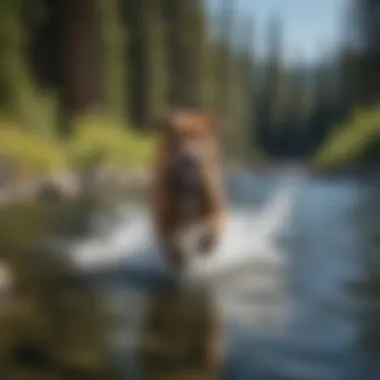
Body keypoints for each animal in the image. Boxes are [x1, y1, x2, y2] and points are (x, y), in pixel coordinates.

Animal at [152, 108, 226, 272]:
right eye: (178, 139)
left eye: (197, 137)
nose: (187, 156)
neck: (189, 184)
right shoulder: (164, 215)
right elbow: (169, 239)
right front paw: (177, 258)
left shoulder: (216, 209)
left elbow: (214, 227)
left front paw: (205, 244)